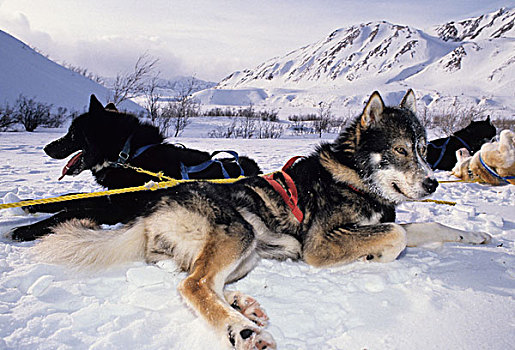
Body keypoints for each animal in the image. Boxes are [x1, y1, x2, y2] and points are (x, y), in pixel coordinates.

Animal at [11, 94, 262, 241]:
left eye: (72, 134)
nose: (46, 148)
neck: (128, 156)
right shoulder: (110, 197)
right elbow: (72, 199)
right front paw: (29, 204)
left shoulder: (118, 209)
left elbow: (69, 211)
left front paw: (25, 230)